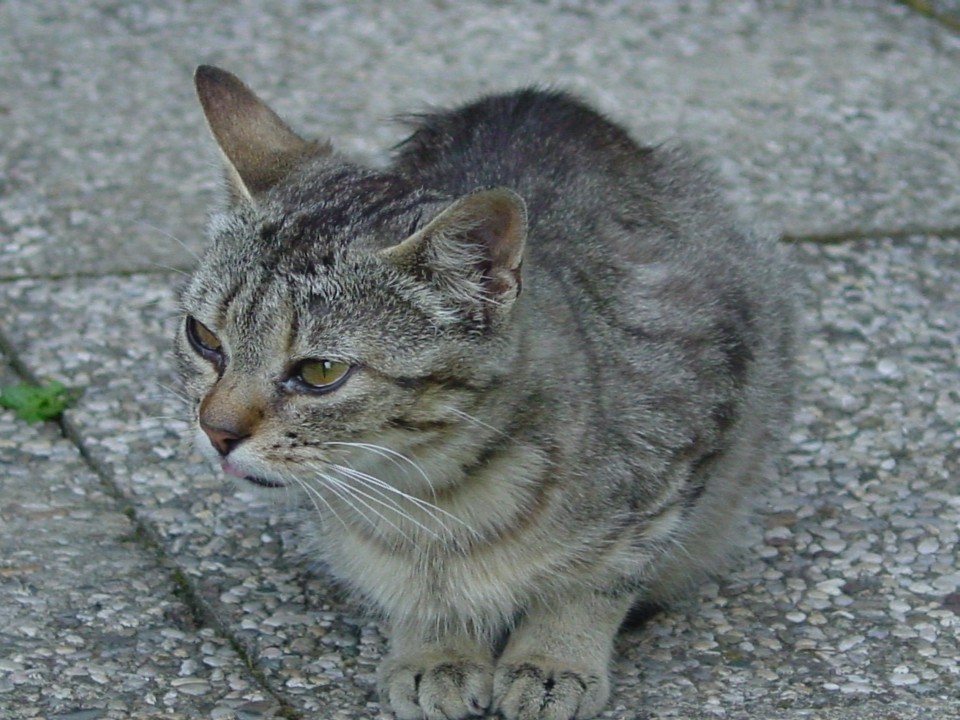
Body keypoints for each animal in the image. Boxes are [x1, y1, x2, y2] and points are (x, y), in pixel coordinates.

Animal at [176, 63, 800, 720]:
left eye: (321, 371)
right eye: (204, 338)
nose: (216, 429)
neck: (431, 498)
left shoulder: (680, 451)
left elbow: (595, 583)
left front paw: (555, 659)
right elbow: (418, 594)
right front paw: (436, 649)